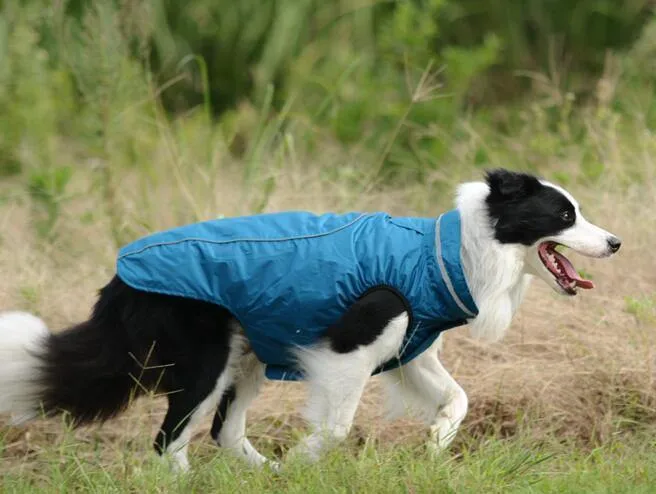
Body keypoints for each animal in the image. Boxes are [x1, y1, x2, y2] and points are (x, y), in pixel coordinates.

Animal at [0, 169, 620, 470]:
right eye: (564, 215)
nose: (616, 242)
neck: (450, 252)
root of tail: (119, 281)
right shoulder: (352, 344)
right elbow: (337, 426)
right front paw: (307, 460)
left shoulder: (410, 348)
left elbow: (458, 399)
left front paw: (436, 444)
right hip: (208, 358)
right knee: (169, 442)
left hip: (250, 350)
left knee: (224, 432)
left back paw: (267, 478)